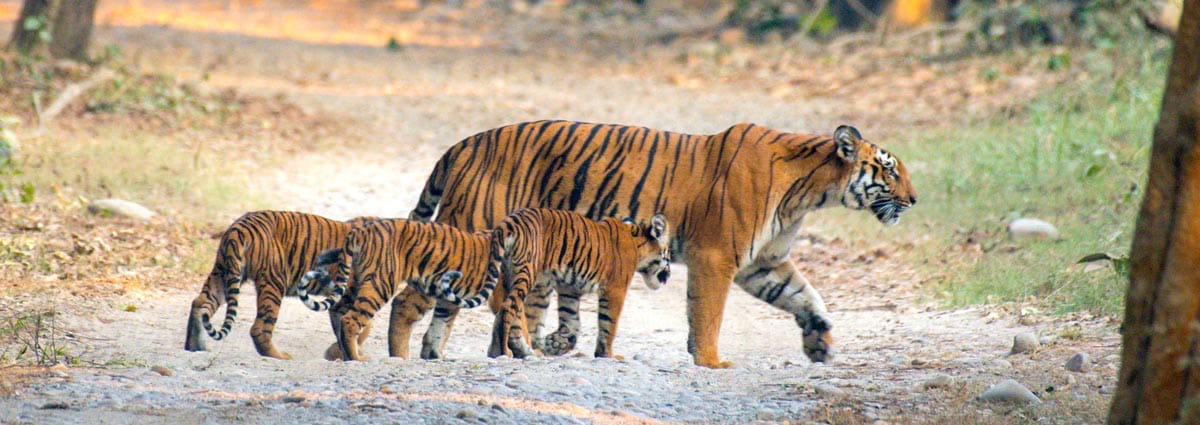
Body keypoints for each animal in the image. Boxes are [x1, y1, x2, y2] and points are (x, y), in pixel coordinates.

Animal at [184, 211, 374, 359]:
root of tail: (239, 228)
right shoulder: (346, 296)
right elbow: (359, 325)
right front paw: (348, 352)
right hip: (274, 281)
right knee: (260, 328)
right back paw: (280, 356)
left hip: (223, 273)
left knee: (200, 303)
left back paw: (195, 347)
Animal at [427, 208, 670, 360]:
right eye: (667, 254)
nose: (668, 276)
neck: (637, 240)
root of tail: (508, 222)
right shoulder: (615, 289)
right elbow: (609, 324)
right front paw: (608, 354)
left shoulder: (570, 288)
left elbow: (572, 324)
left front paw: (554, 343)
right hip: (526, 271)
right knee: (508, 308)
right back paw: (502, 351)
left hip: (507, 276)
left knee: (508, 311)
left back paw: (501, 349)